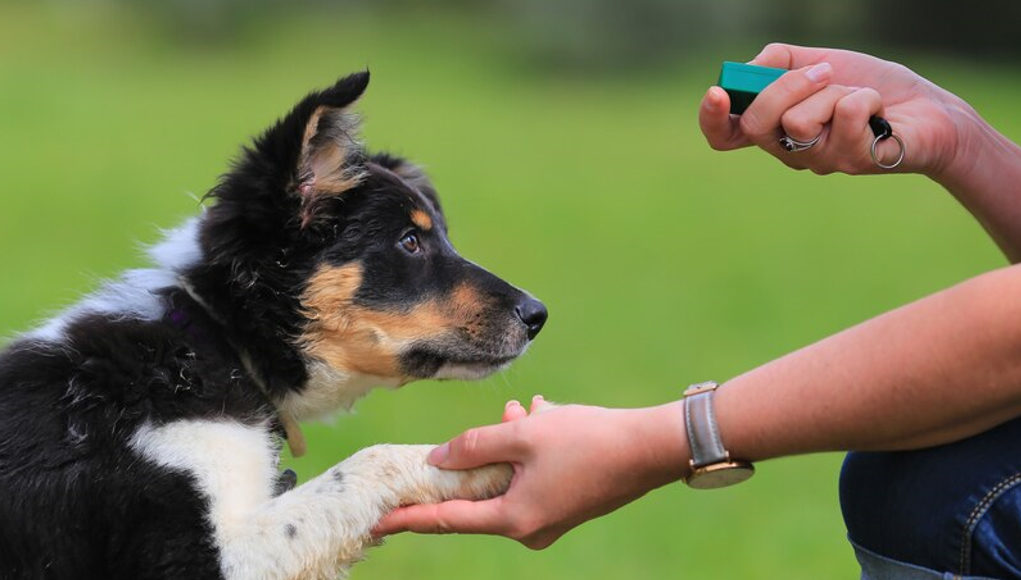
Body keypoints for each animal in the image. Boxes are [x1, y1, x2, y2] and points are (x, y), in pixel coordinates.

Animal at [0, 72, 547, 580]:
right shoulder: (195, 554)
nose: (538, 315)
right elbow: (370, 462)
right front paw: (488, 458)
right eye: (410, 242)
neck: (213, 344)